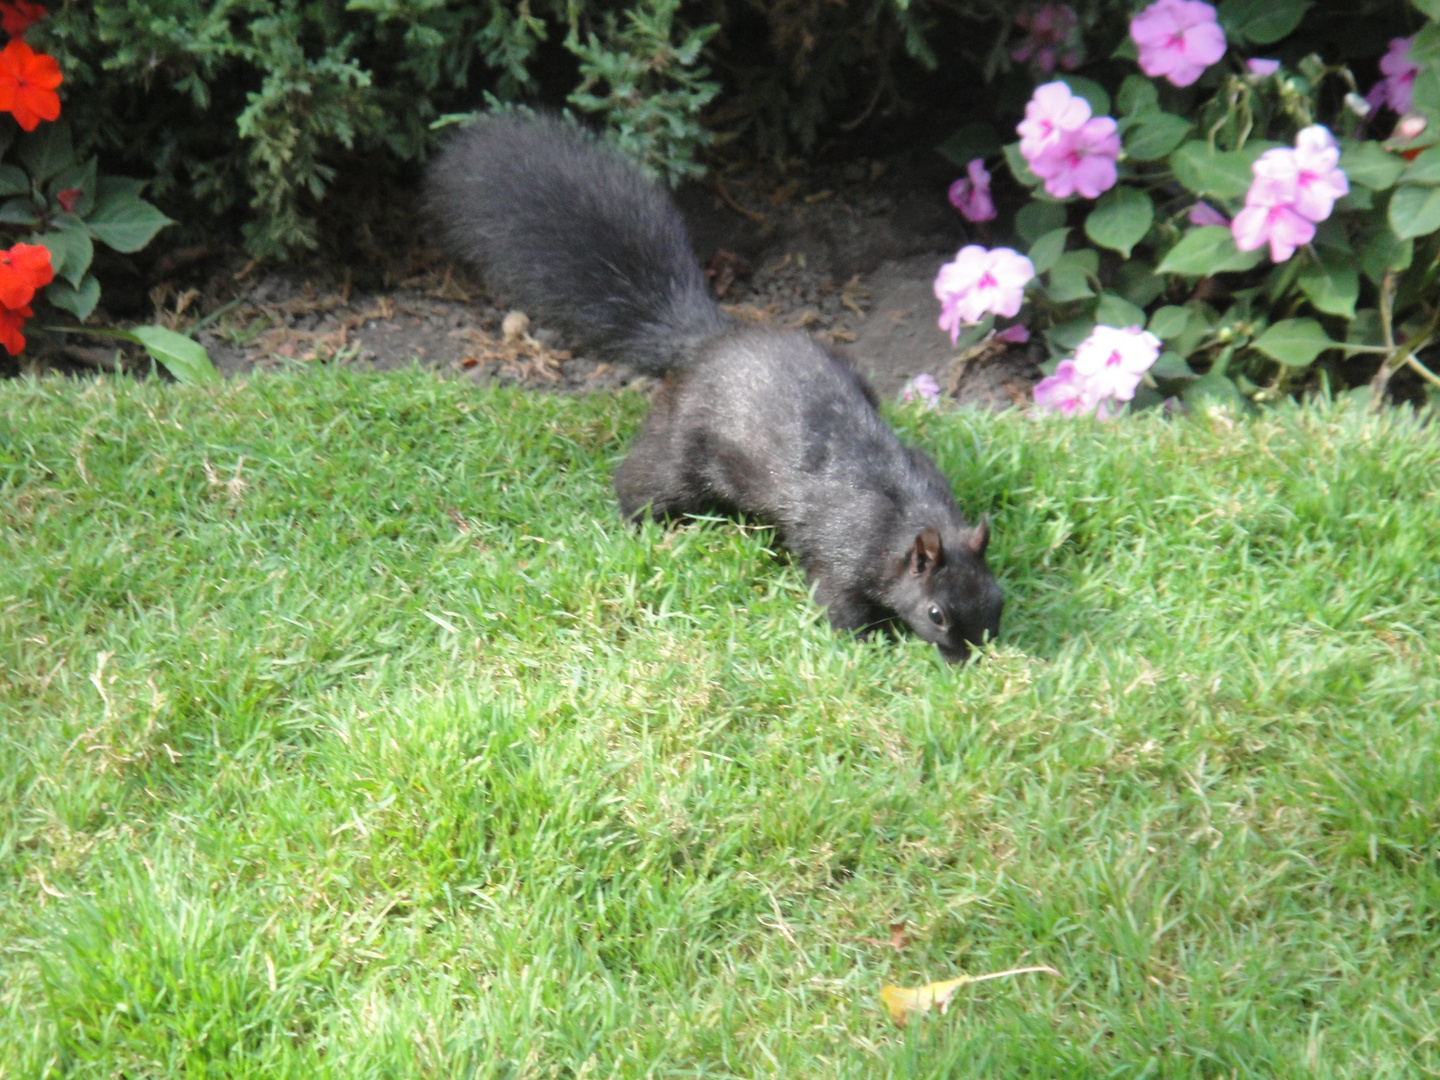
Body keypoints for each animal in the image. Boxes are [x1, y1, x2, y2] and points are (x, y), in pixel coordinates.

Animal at [426, 114, 1002, 665]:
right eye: (935, 613)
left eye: (996, 599)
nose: (968, 660)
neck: (906, 517)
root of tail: (708, 340)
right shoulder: (838, 551)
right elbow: (837, 603)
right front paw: (865, 647)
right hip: (684, 446)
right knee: (645, 481)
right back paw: (640, 523)